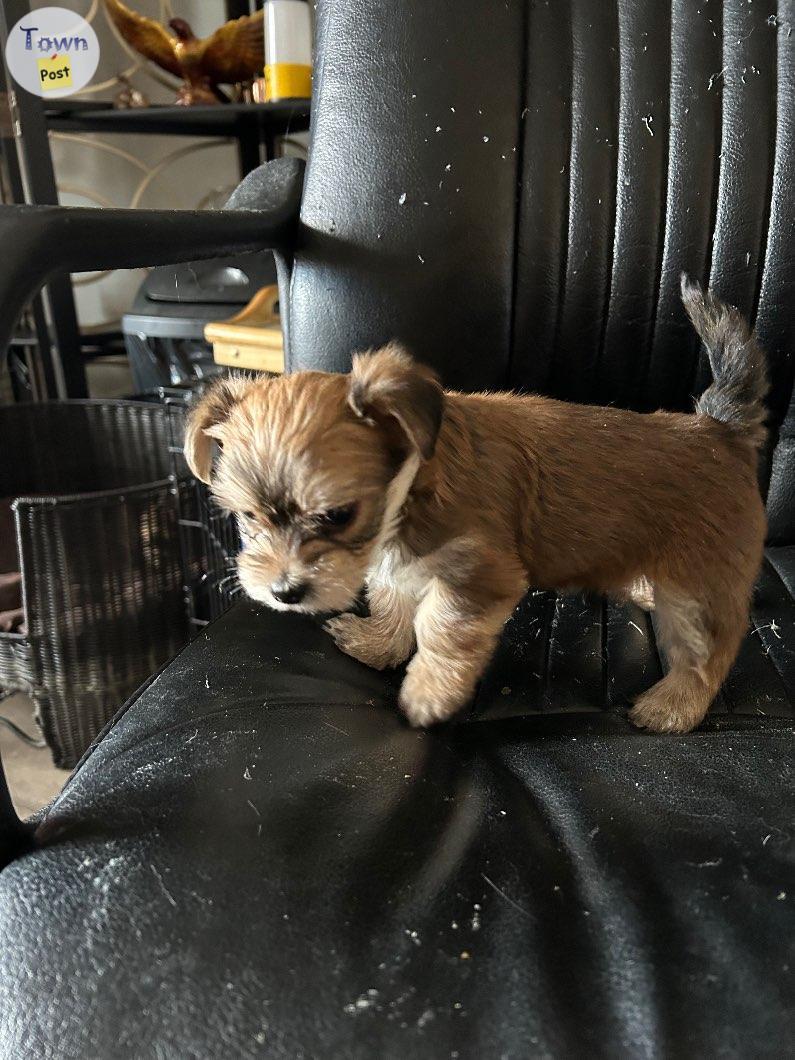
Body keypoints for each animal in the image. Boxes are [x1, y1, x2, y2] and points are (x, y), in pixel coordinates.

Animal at [188, 277, 771, 733]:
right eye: (246, 516)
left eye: (337, 516)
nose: (284, 592)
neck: (411, 484)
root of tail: (720, 429)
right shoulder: (398, 565)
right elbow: (393, 603)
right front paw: (377, 644)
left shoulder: (476, 578)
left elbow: (440, 634)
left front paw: (426, 697)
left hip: (700, 587)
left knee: (707, 653)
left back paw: (672, 706)